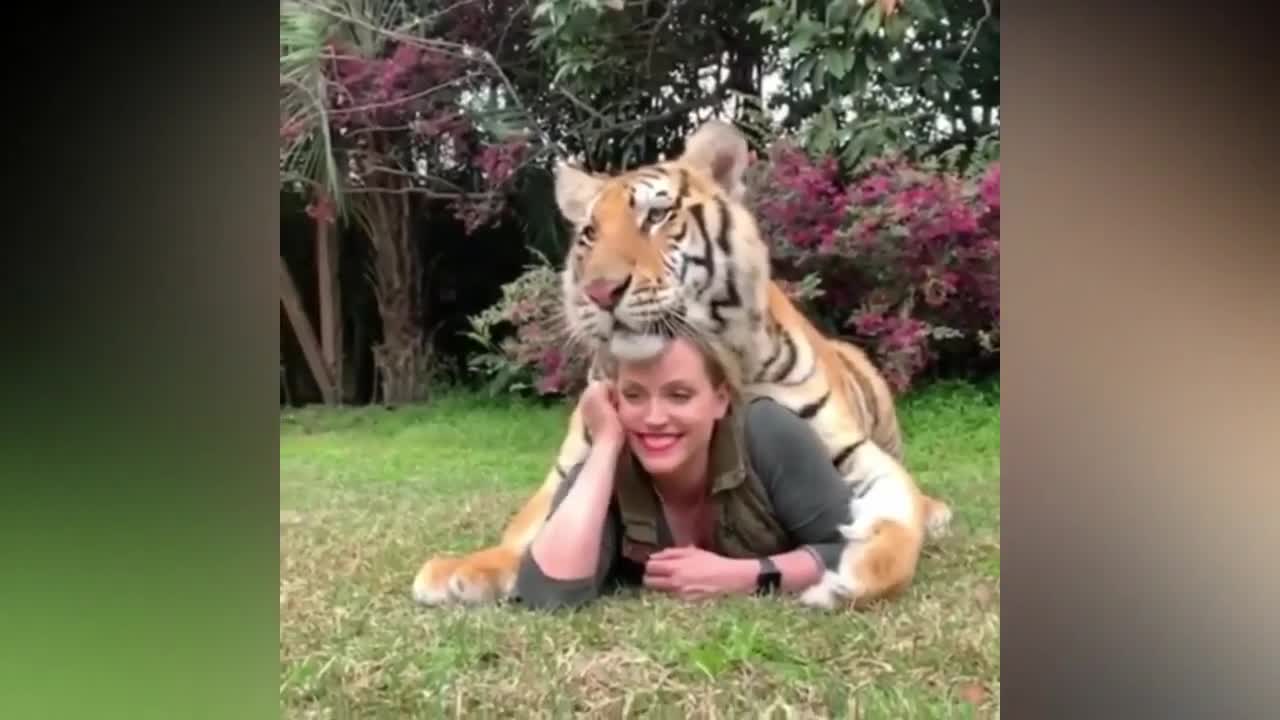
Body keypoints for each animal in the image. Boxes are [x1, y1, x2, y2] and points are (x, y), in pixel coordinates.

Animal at [409, 120, 952, 607]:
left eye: (655, 216)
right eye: (589, 234)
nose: (600, 292)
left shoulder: (852, 453)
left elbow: (897, 513)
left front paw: (854, 574)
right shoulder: (570, 468)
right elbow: (528, 529)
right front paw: (465, 569)